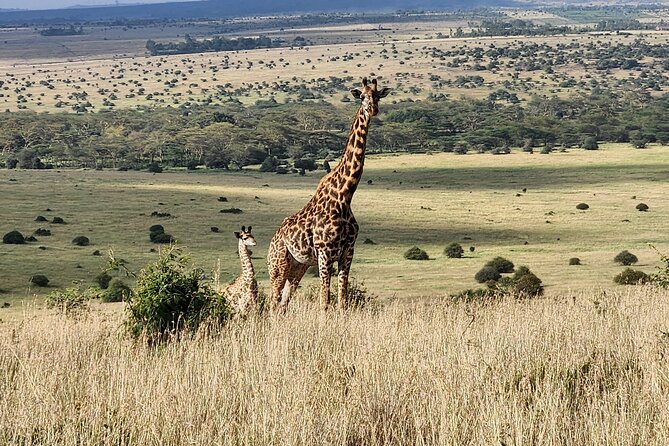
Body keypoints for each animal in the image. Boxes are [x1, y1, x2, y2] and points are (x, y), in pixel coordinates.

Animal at [268, 76, 392, 312]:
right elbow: (324, 301)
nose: (373, 109)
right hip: (278, 264)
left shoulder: (348, 252)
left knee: (284, 302)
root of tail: (274, 237)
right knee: (273, 299)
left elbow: (343, 300)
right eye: (361, 96)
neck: (345, 195)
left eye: (378, 96)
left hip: (298, 266)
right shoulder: (325, 253)